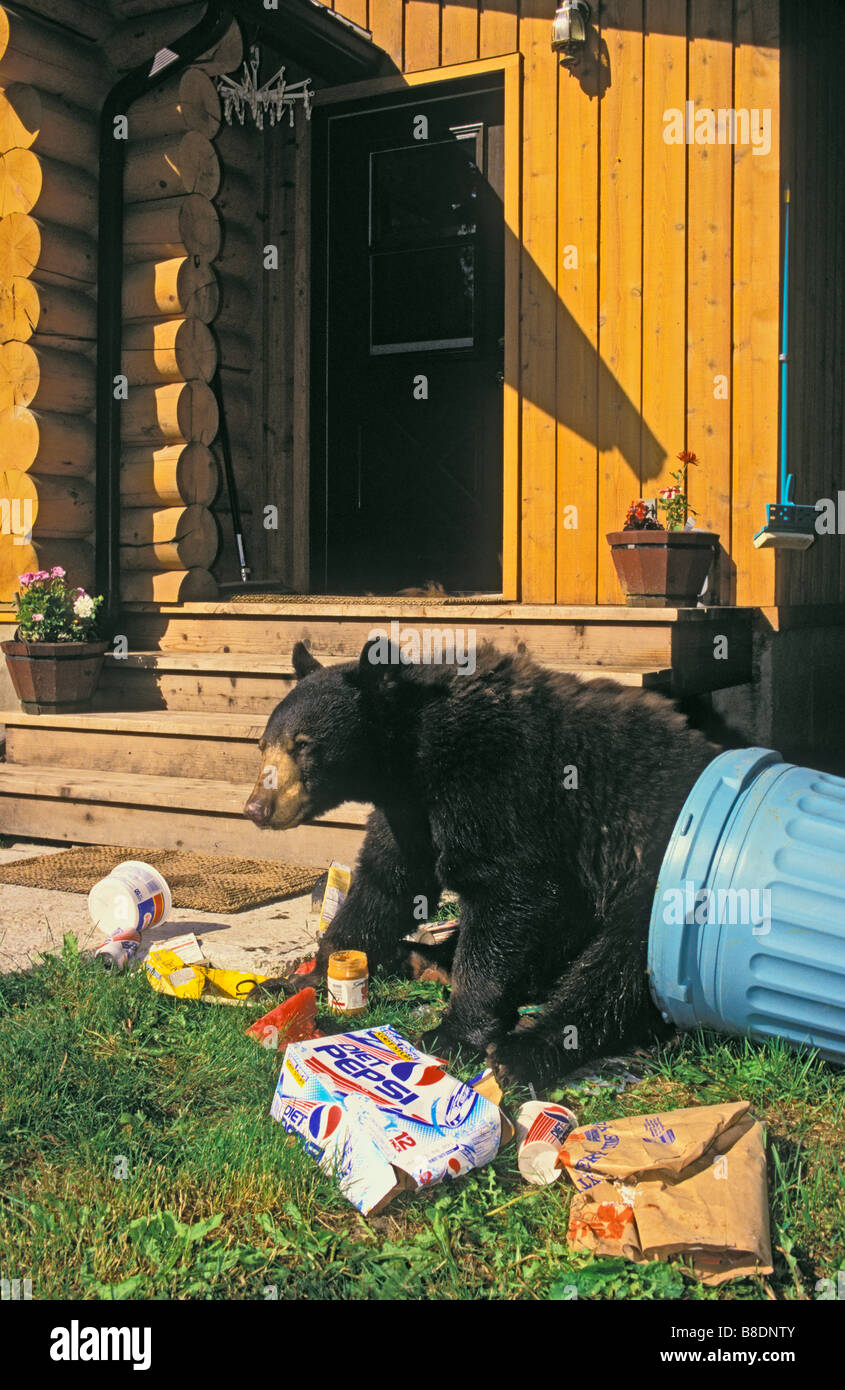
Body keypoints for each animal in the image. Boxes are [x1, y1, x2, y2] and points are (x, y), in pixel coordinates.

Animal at [244, 638, 719, 1085]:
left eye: (303, 745)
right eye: (263, 743)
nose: (257, 808)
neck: (418, 753)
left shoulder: (499, 784)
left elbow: (507, 891)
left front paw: (452, 1035)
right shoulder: (409, 813)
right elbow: (386, 882)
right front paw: (297, 979)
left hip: (657, 876)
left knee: (619, 967)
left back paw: (526, 1050)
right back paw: (420, 958)